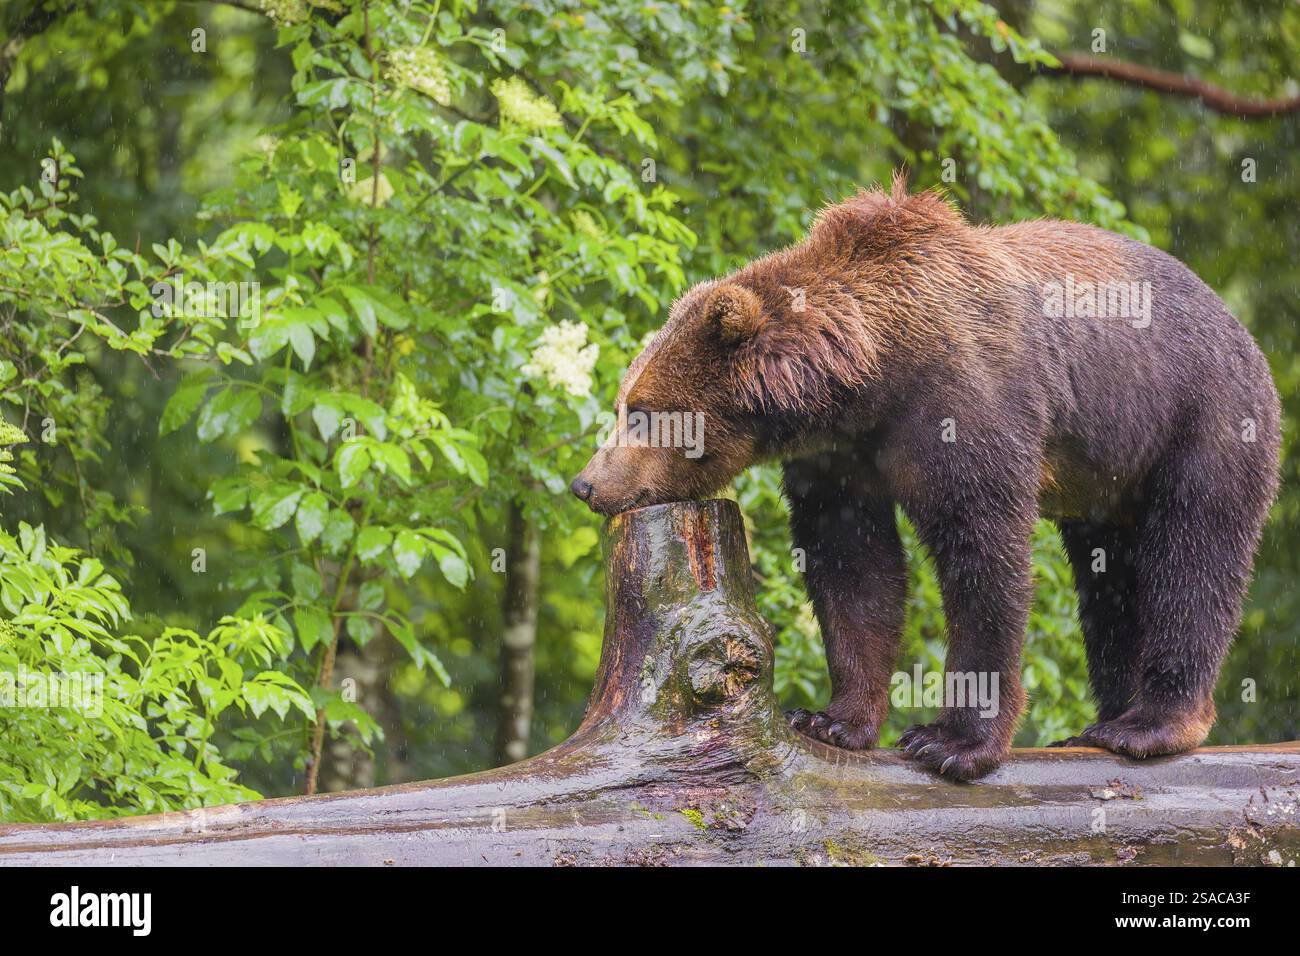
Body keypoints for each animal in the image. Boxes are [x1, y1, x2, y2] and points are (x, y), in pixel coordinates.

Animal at [570, 173, 1280, 781]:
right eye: (625, 403)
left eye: (641, 413)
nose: (586, 484)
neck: (870, 376)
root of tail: (1244, 333)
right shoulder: (841, 458)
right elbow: (855, 566)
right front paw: (833, 719)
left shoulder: (965, 407)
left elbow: (982, 555)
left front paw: (952, 741)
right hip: (1108, 480)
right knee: (1110, 581)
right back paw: (1102, 720)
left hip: (1196, 423)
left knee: (1192, 557)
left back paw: (1151, 723)